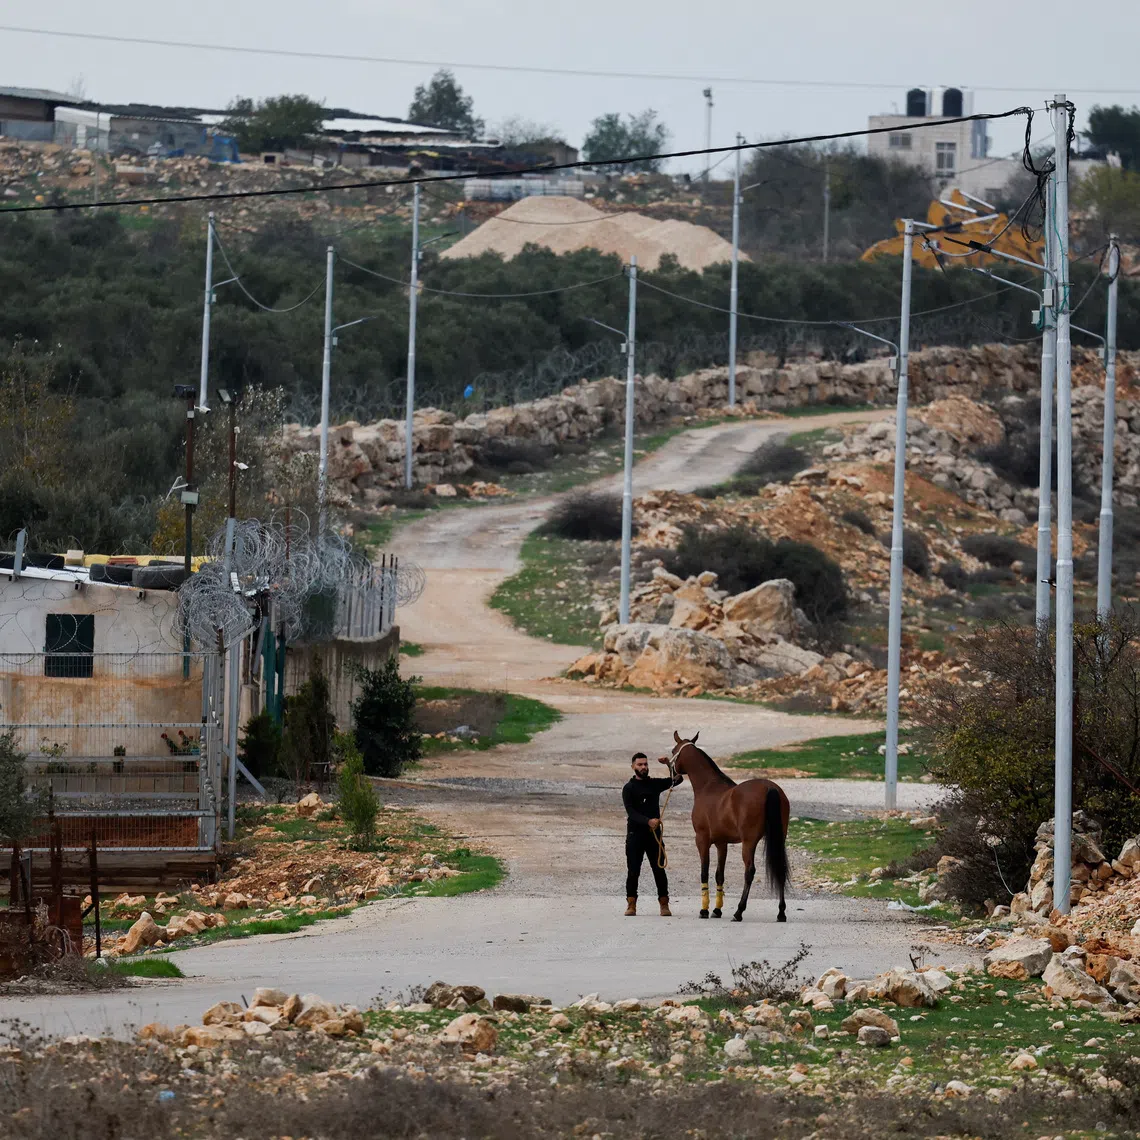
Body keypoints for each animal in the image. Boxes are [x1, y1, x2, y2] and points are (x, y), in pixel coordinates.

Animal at [667, 731, 790, 923]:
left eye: (673, 751)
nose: (674, 778)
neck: (708, 787)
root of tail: (770, 788)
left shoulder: (702, 840)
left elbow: (704, 872)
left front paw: (704, 910)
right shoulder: (721, 843)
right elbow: (719, 875)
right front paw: (717, 910)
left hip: (749, 842)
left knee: (749, 871)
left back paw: (739, 911)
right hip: (779, 838)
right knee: (781, 869)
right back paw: (781, 913)